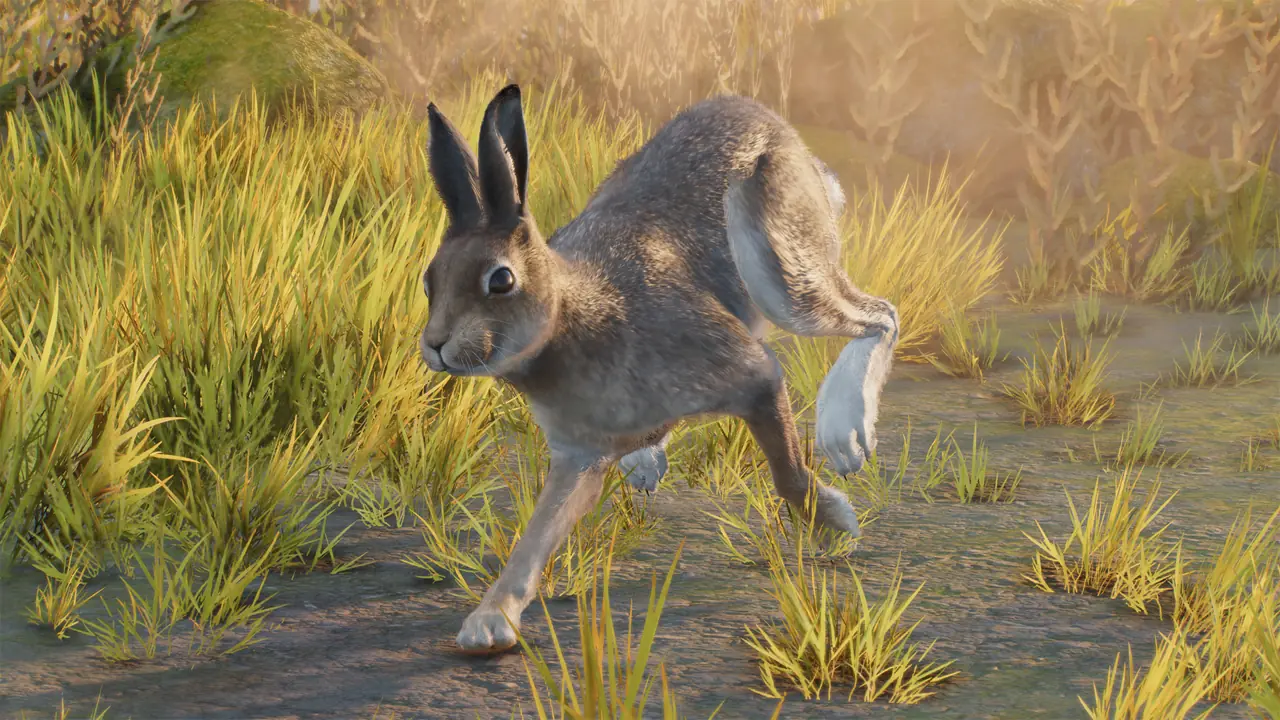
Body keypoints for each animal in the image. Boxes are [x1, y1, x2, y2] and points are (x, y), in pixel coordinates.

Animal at [419, 84, 899, 655]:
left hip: (786, 268)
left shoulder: (752, 376)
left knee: (879, 316)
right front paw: (489, 625)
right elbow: (537, 535)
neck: (571, 320)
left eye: (500, 281)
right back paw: (647, 461)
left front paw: (833, 526)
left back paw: (845, 436)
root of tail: (787, 137)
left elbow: (788, 473)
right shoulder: (580, 454)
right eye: (429, 280)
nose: (435, 346)